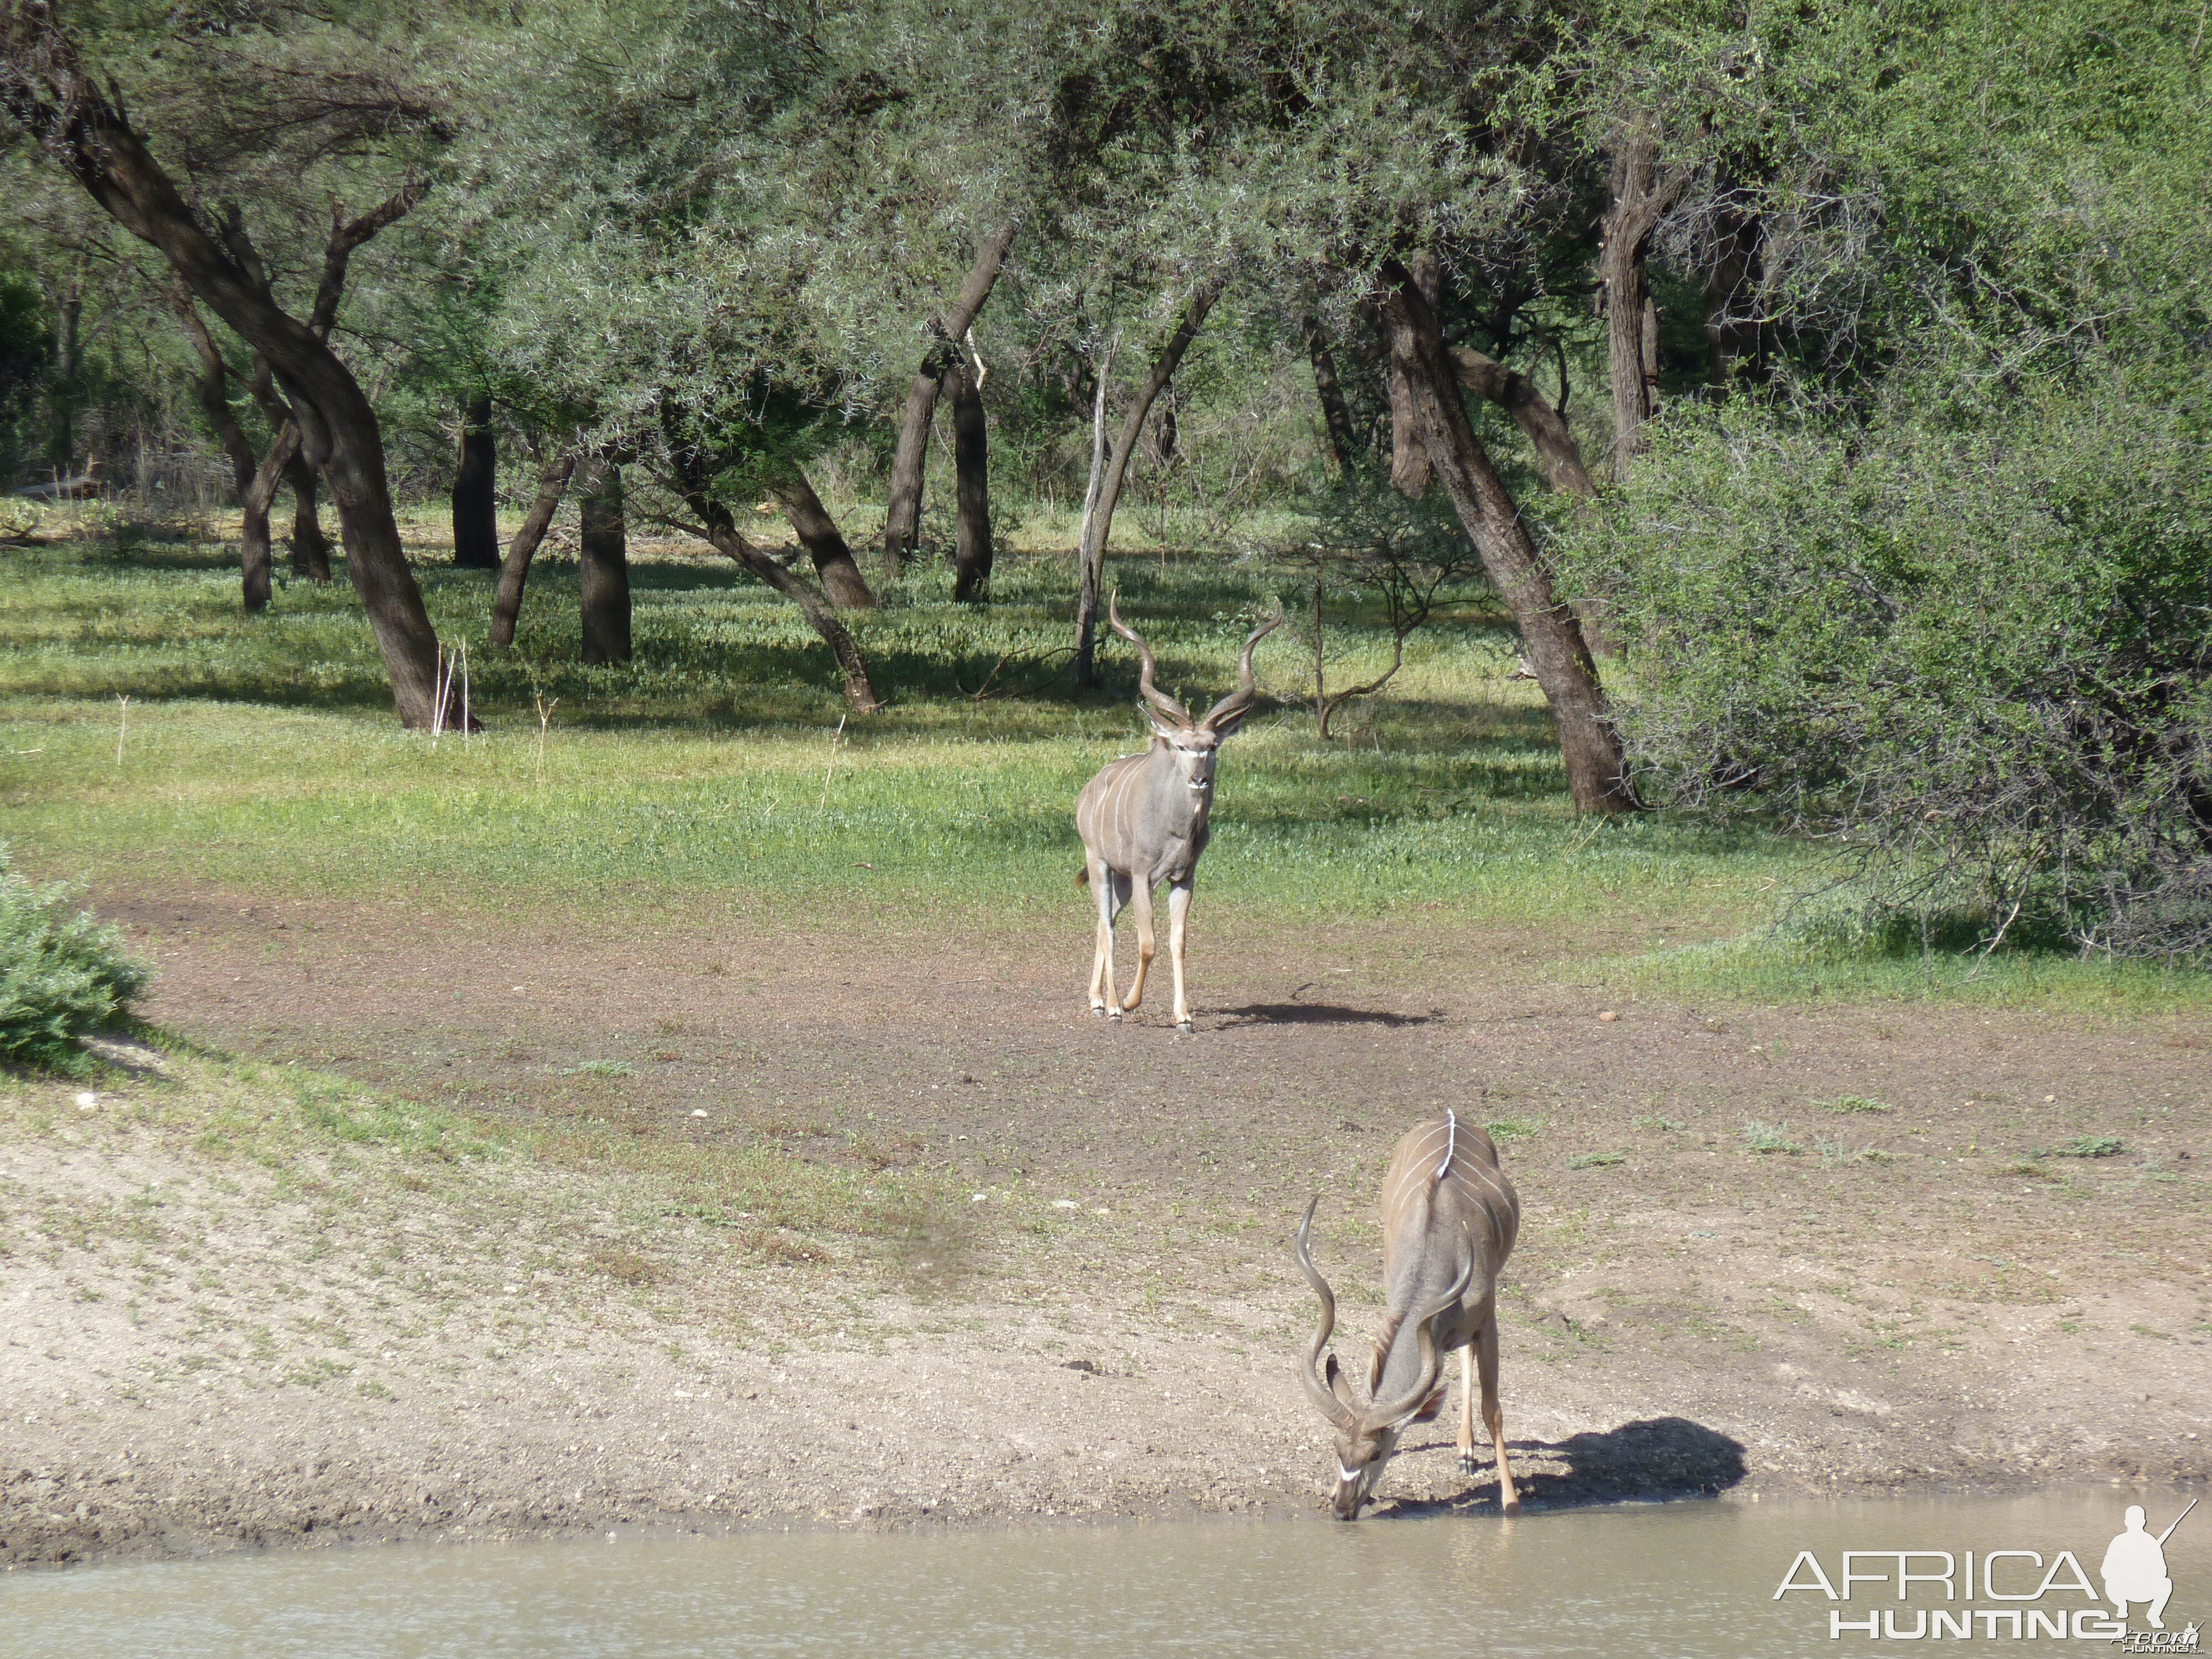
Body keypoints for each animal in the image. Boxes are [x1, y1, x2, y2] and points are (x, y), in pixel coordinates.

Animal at [1071, 597, 1283, 1035]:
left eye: (1213, 745)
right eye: (1183, 746)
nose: (1199, 779)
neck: (1176, 829)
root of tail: (1087, 792)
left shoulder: (1183, 877)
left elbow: (1178, 941)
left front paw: (1184, 1017)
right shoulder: (1143, 875)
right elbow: (1148, 942)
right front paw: (1130, 1003)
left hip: (1120, 880)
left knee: (1105, 922)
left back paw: (1097, 1000)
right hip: (1100, 863)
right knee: (1107, 926)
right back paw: (1111, 1006)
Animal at [1292, 1119, 1522, 1522]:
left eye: (1375, 1454)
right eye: (1337, 1448)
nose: (1342, 1510)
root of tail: (1452, 1117)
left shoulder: (1487, 1319)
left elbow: (1492, 1410)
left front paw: (1511, 1505)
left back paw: (1467, 1453)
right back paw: (1464, 1452)